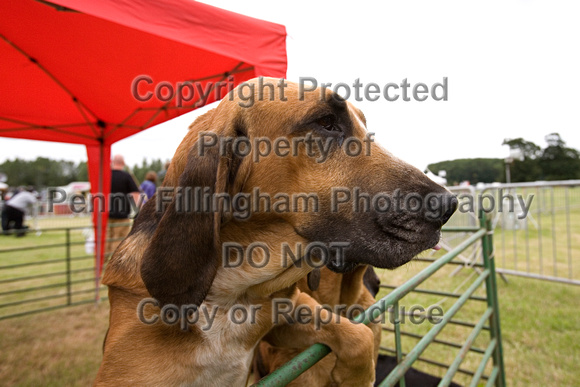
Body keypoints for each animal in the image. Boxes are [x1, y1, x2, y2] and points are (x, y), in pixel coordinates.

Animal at [96, 77, 458, 386]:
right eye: (326, 122)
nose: (449, 205)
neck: (231, 294)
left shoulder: (288, 312)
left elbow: (357, 334)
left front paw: (358, 377)